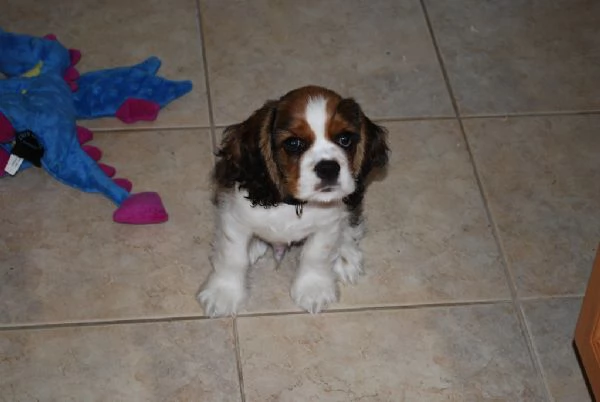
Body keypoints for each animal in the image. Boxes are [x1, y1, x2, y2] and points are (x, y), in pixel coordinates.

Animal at [197, 85, 390, 318]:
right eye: (294, 143)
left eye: (345, 139)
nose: (328, 168)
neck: (293, 204)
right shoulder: (235, 219)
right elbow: (232, 256)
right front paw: (224, 294)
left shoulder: (328, 224)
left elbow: (316, 254)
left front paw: (314, 289)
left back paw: (345, 255)